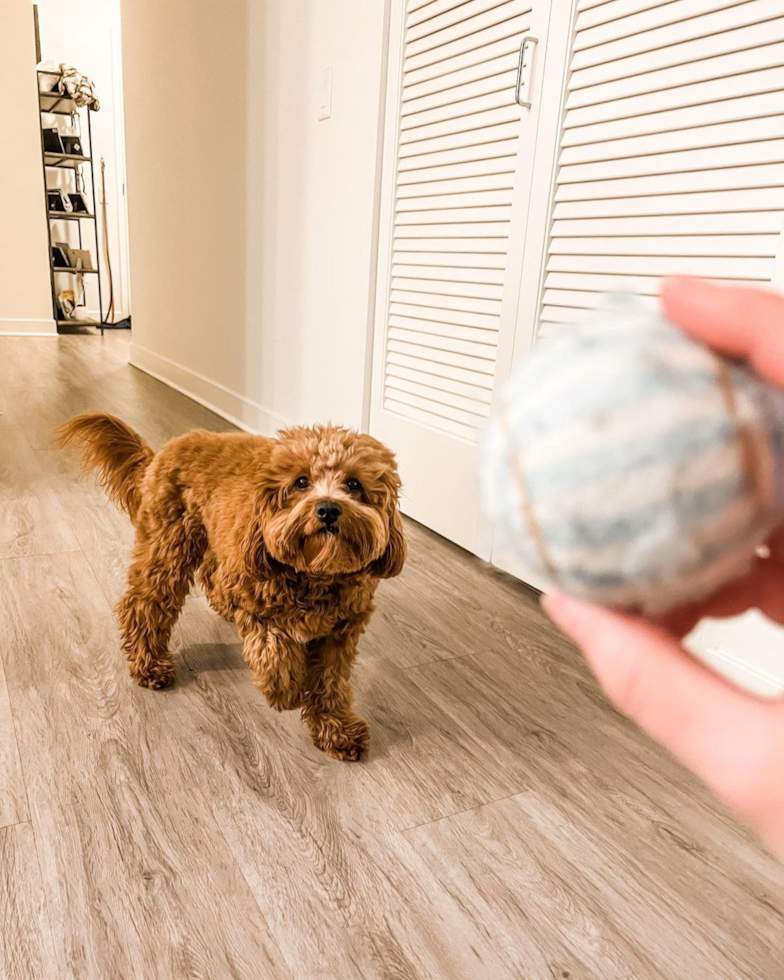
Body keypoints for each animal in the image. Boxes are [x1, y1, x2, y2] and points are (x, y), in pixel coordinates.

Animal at [56, 412, 404, 756]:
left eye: (354, 484)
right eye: (301, 482)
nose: (328, 509)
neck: (315, 574)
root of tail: (169, 448)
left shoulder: (341, 632)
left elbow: (330, 682)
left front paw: (336, 729)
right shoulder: (253, 597)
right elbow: (273, 651)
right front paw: (287, 690)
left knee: (210, 574)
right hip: (167, 547)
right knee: (144, 604)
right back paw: (149, 664)